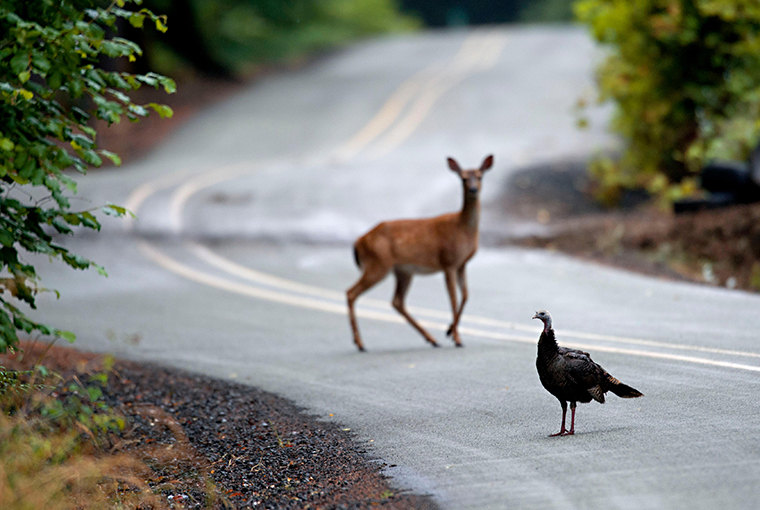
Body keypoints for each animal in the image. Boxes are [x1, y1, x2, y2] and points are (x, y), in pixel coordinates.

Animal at [348, 155, 496, 352]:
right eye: (463, 178)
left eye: (480, 176)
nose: (473, 189)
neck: (463, 229)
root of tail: (358, 241)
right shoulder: (448, 261)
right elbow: (453, 299)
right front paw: (456, 338)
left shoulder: (461, 264)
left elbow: (465, 296)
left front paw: (450, 331)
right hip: (378, 264)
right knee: (351, 293)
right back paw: (360, 343)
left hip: (402, 271)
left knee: (397, 301)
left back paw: (432, 339)